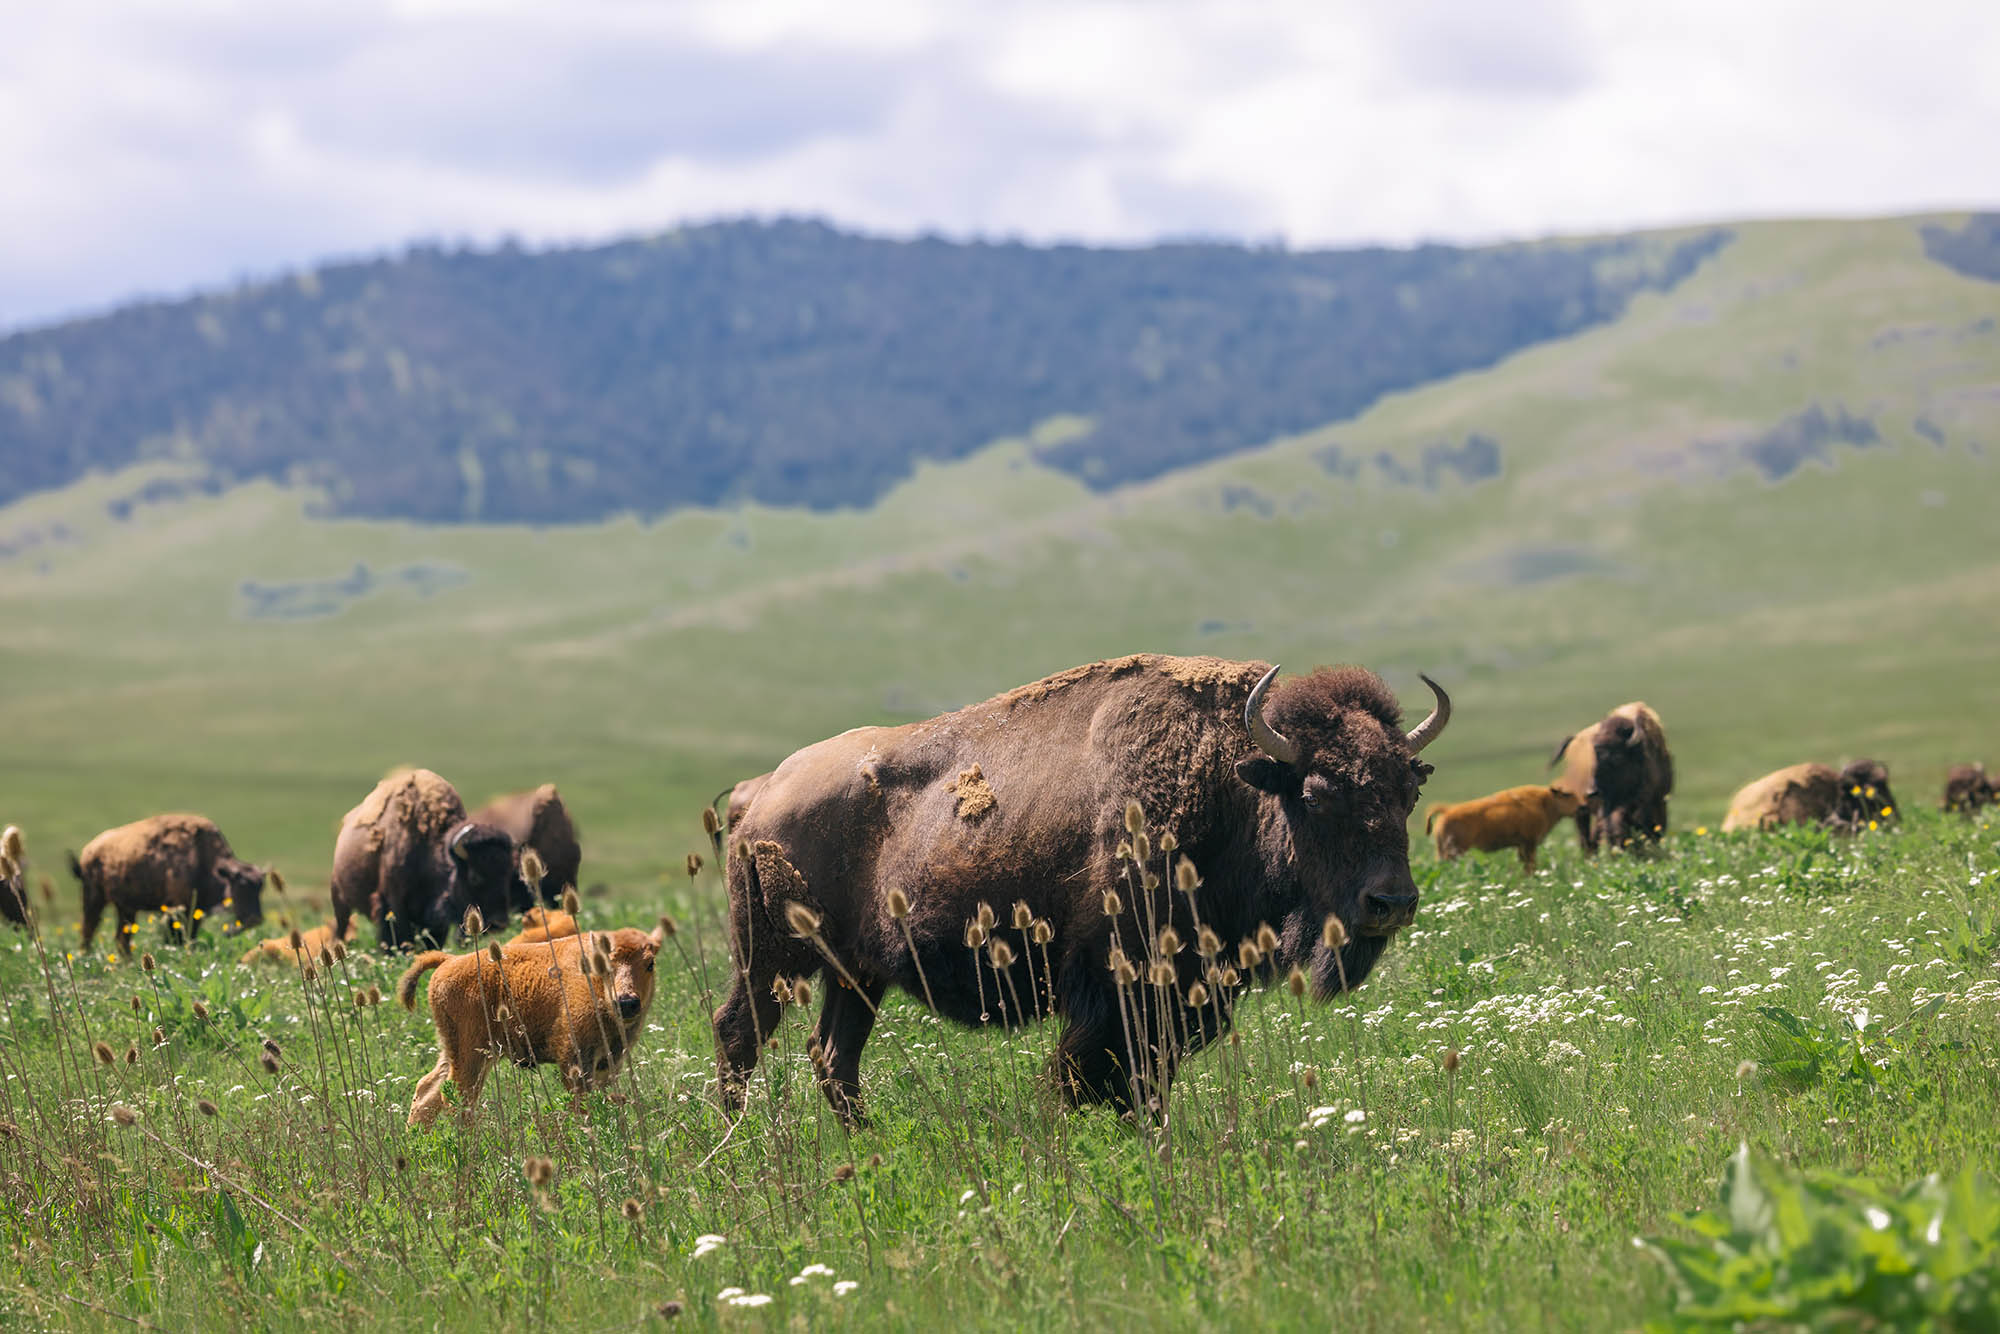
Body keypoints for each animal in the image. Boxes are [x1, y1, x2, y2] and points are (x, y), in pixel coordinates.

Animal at [71, 814, 267, 953]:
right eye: (240, 884)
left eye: (261, 887)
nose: (255, 919)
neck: (202, 857)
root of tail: (89, 850)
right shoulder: (175, 909)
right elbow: (174, 937)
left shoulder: (194, 912)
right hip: (93, 899)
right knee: (88, 930)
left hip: (126, 908)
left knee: (121, 938)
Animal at [330, 769, 514, 950]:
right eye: (474, 877)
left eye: (507, 874)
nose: (500, 924)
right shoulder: (394, 904)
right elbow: (400, 937)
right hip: (339, 901)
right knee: (341, 926)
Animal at [714, 653, 1449, 1121]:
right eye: (1318, 794)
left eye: (1408, 792)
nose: (1391, 902)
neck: (1233, 785)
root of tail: (761, 792)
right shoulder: (1117, 991)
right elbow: (1099, 1078)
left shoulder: (1179, 996)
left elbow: (1147, 1079)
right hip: (772, 958)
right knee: (740, 1035)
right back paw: (741, 1142)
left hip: (856, 973)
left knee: (832, 1057)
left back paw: (865, 1143)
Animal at [1549, 702, 1672, 851]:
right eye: (1592, 757)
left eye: (1617, 757)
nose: (1591, 792)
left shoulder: (1655, 802)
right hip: (1581, 810)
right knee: (1586, 836)